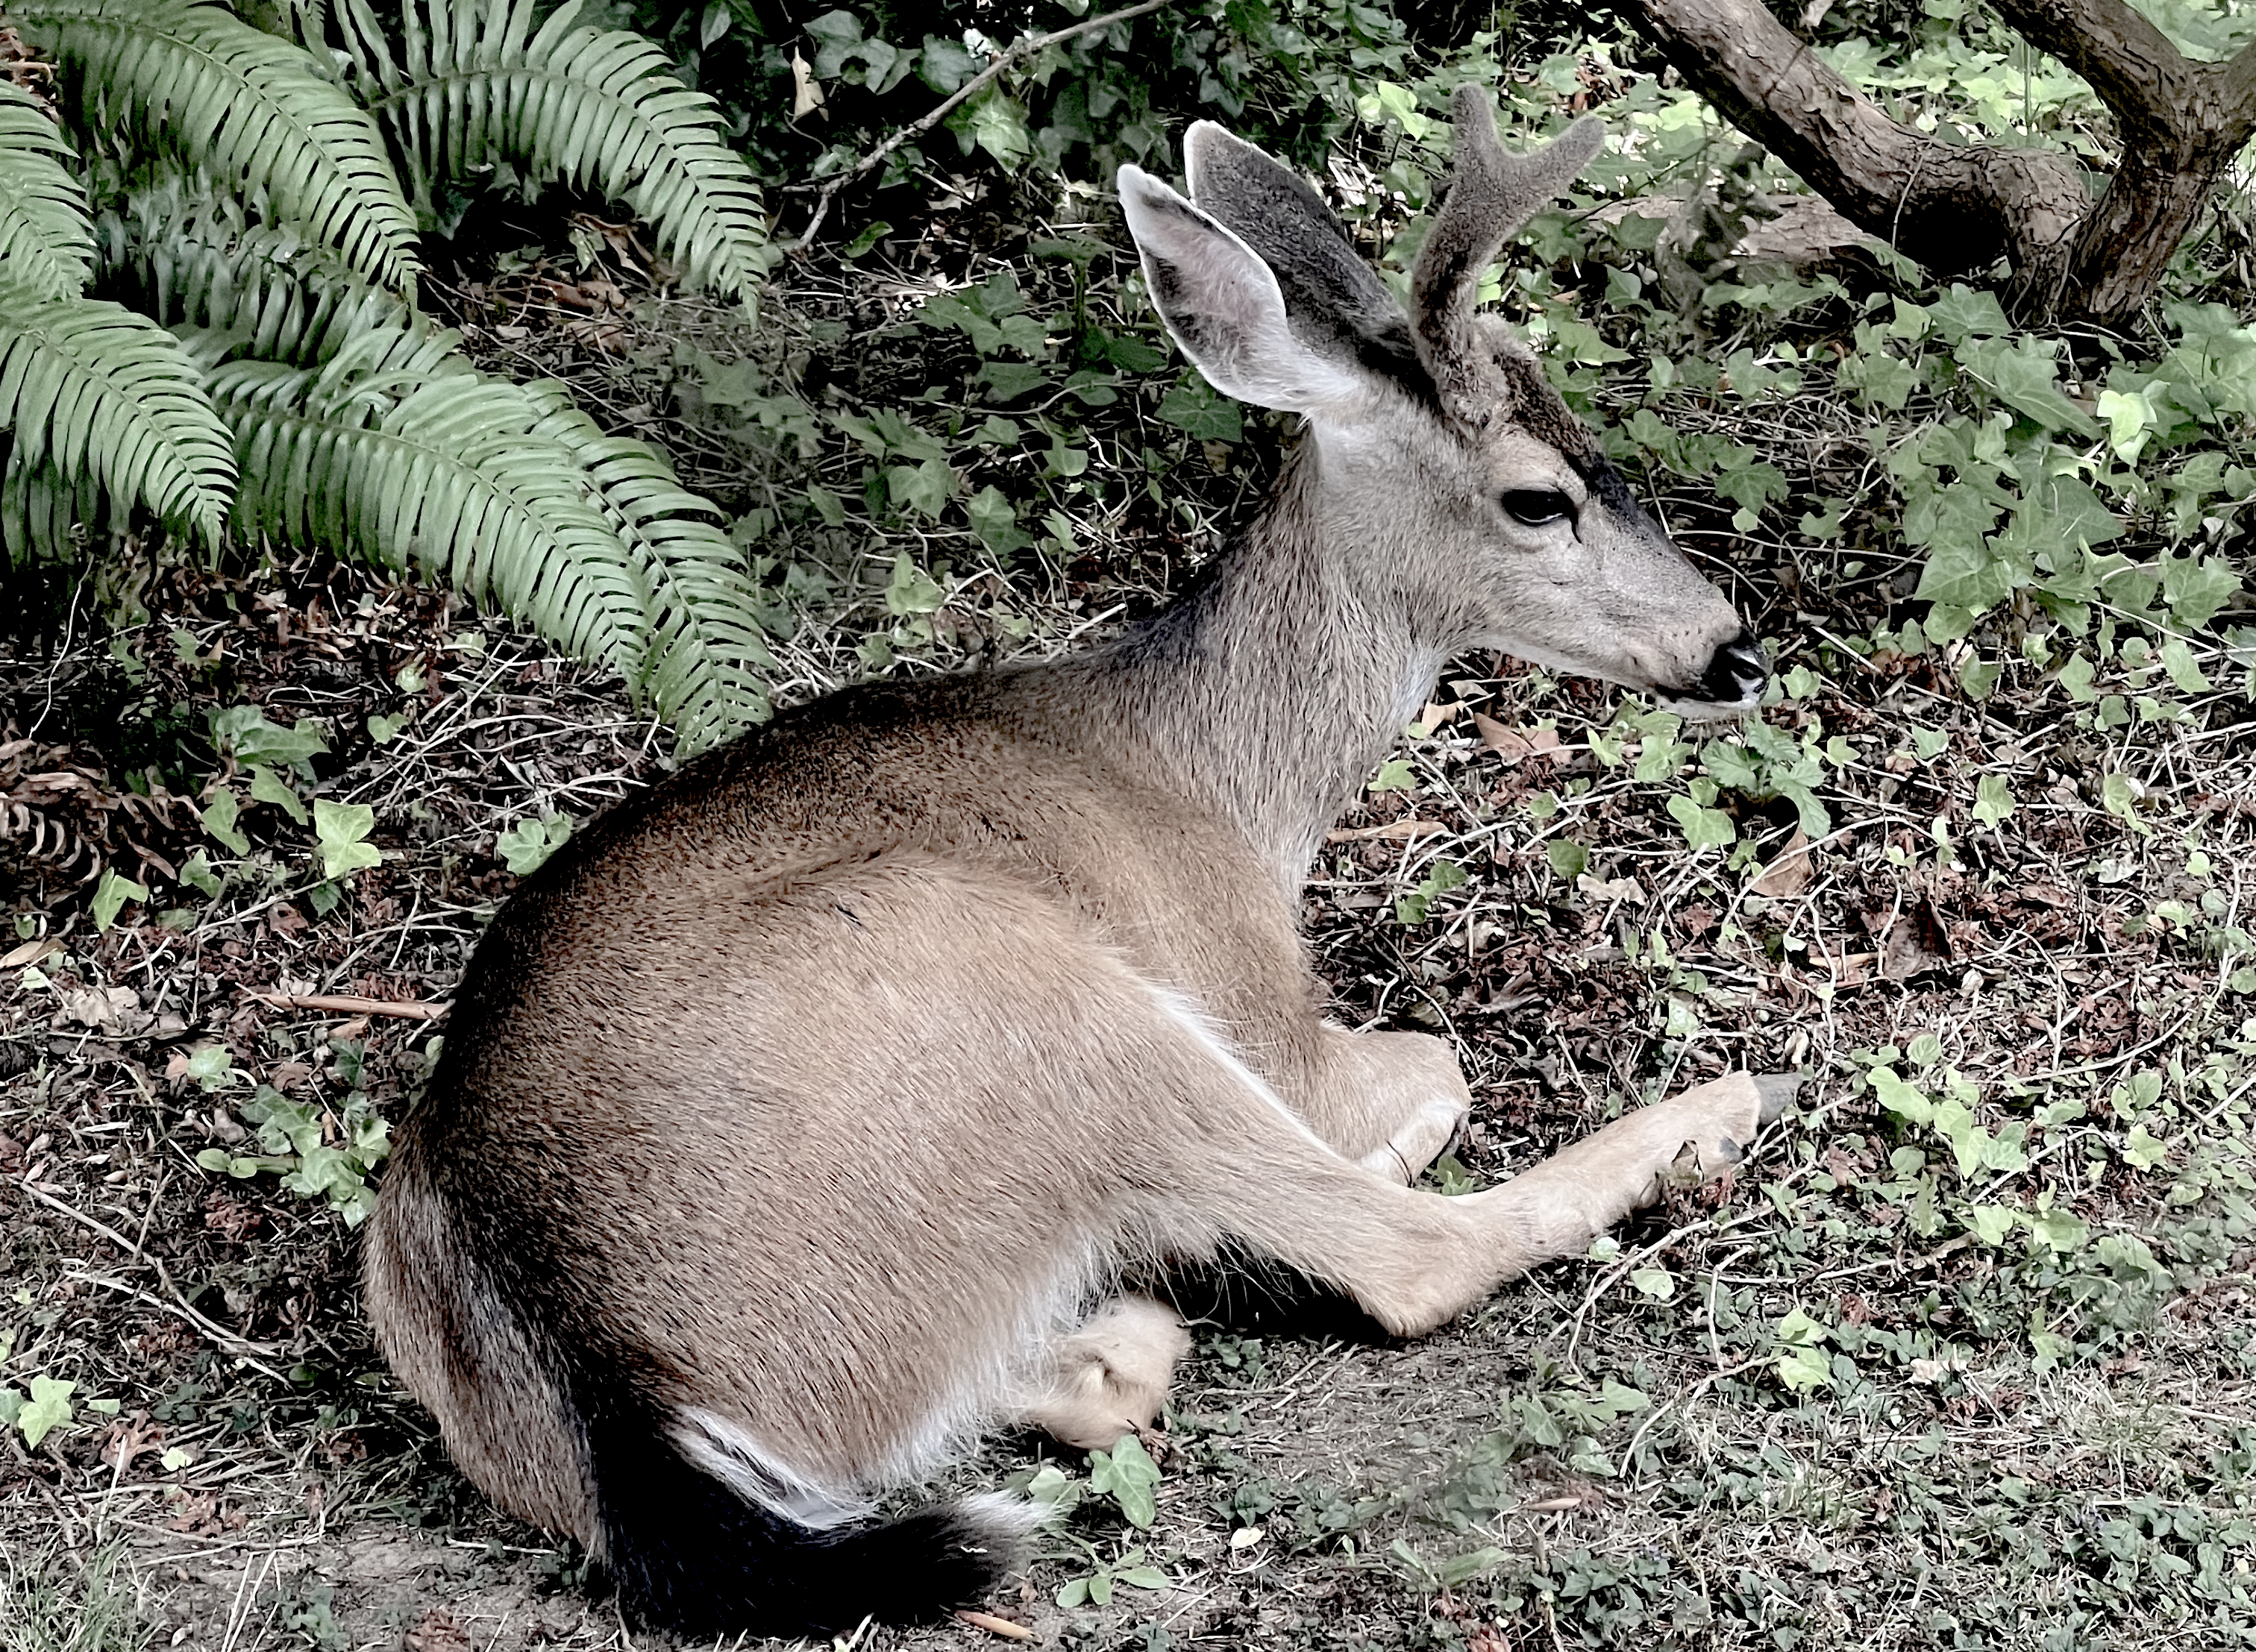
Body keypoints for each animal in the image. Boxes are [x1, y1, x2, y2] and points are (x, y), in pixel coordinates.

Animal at [364, 85, 1787, 1640]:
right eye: (1537, 499)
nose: (1729, 646)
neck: (1219, 781)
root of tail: (612, 1386)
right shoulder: (1262, 1015)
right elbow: (1431, 1068)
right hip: (1035, 985)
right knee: (1403, 1256)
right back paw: (1710, 1111)